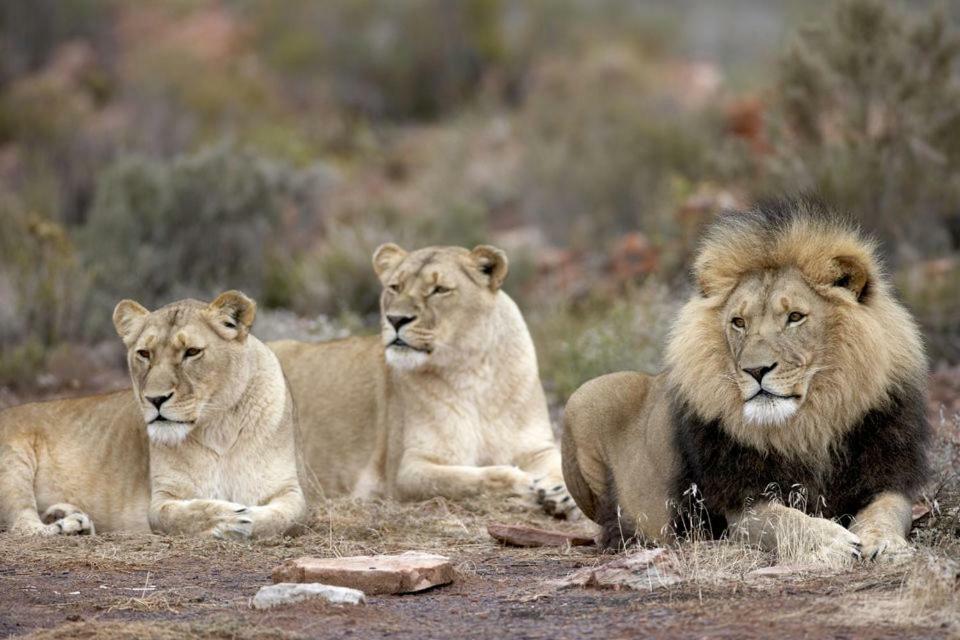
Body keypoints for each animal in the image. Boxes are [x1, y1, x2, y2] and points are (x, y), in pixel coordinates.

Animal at [0, 292, 306, 536]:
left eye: (192, 352)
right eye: (144, 353)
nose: (155, 399)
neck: (219, 426)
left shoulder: (289, 490)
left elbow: (287, 517)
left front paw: (248, 517)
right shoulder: (161, 498)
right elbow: (177, 515)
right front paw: (226, 518)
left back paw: (68, 517)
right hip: (13, 464)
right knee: (23, 527)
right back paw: (67, 526)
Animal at [268, 242, 576, 516]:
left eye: (440, 290)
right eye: (395, 287)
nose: (395, 319)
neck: (474, 372)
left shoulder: (536, 448)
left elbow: (560, 464)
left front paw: (561, 493)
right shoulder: (407, 469)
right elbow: (468, 479)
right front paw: (526, 484)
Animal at [564, 199, 928, 560]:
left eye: (795, 317)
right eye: (738, 322)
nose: (756, 370)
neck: (809, 426)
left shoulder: (888, 477)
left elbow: (889, 511)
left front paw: (885, 542)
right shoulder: (740, 506)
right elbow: (785, 520)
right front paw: (830, 540)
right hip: (583, 398)